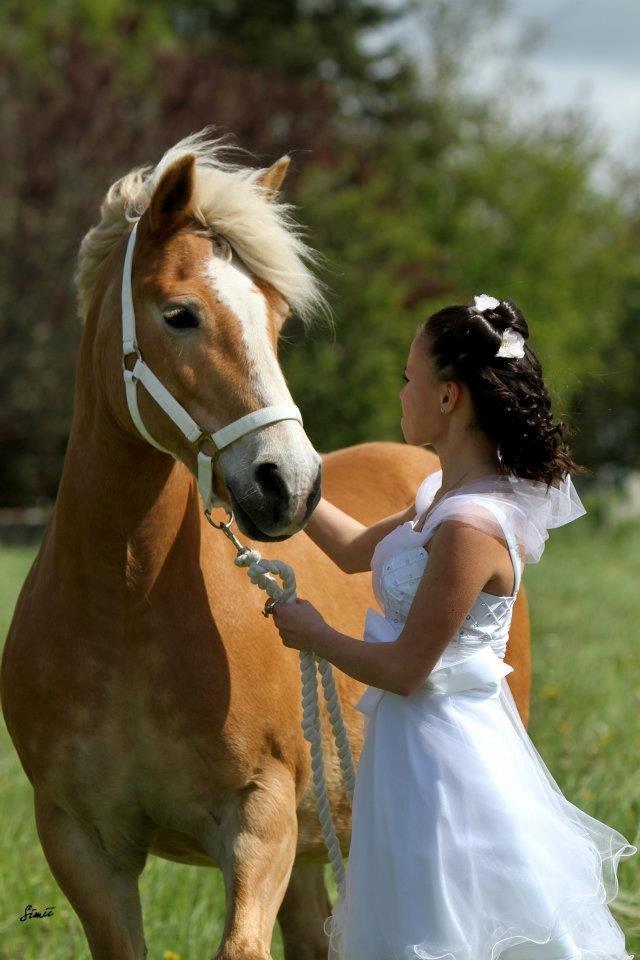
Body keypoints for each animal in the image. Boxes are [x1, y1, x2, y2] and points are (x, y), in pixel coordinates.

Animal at [0, 129, 528, 960]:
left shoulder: (258, 823)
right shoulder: (81, 843)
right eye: (180, 314)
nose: (292, 486)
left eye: (276, 322)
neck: (123, 609)